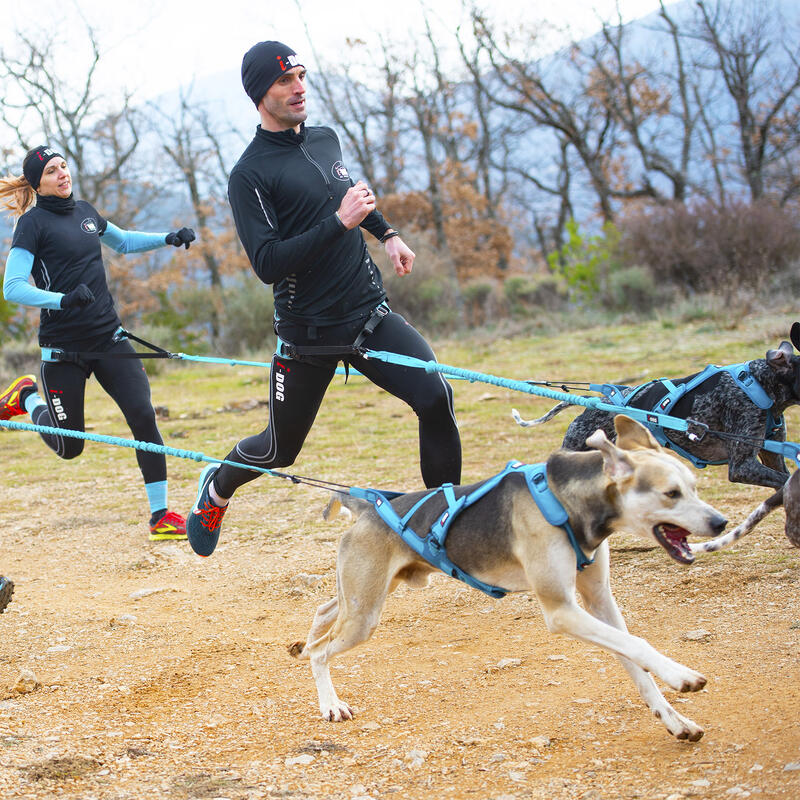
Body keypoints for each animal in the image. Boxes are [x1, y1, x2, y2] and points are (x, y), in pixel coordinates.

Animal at [290, 416, 728, 740]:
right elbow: (638, 644)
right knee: (322, 651)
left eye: (694, 486)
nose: (720, 522)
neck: (566, 501)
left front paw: (675, 721)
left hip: (368, 594)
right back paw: (330, 703)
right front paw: (683, 676)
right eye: (671, 493)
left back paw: (306, 644)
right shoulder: (562, 611)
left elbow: (635, 661)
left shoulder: (600, 602)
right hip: (365, 614)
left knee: (324, 610)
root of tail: (367, 507)